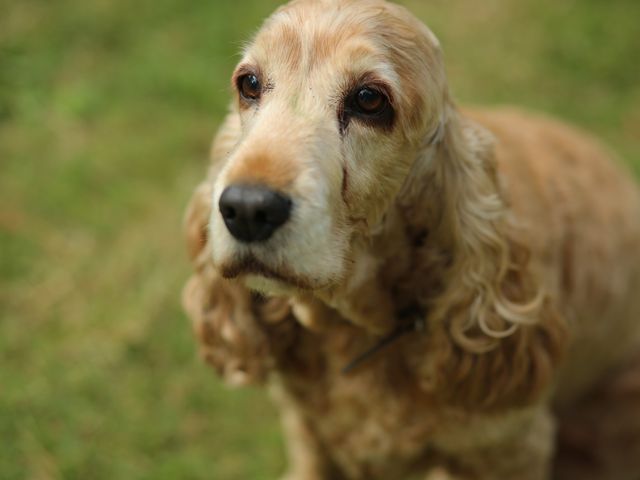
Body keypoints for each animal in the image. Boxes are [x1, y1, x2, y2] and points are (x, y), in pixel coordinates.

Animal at [182, 1, 640, 478]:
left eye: (369, 99)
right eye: (249, 83)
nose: (247, 209)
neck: (355, 328)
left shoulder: (511, 449)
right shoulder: (306, 432)